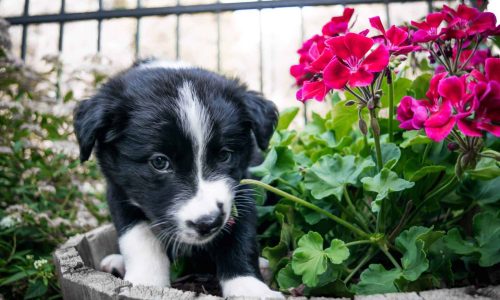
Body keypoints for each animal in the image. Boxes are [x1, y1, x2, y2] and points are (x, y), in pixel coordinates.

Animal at [74, 59, 286, 298]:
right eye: (159, 162)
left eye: (224, 155)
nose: (208, 223)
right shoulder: (119, 190)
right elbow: (137, 235)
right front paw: (146, 282)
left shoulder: (241, 188)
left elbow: (240, 236)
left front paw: (249, 288)